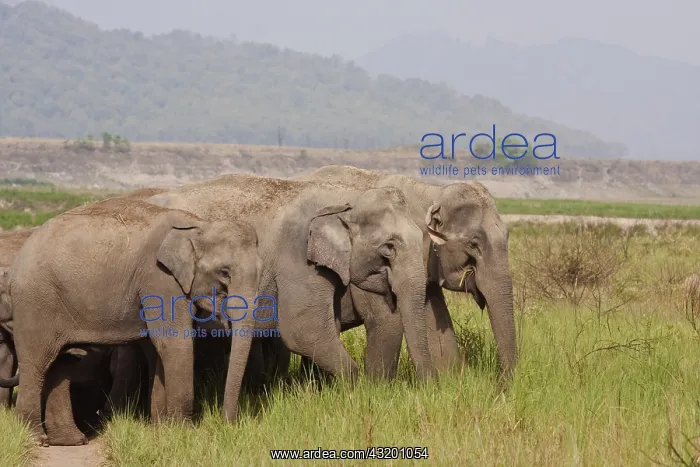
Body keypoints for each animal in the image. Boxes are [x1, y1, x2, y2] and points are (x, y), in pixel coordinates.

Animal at [7, 196, 262, 445]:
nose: (227, 425)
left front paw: (163, 431)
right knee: (37, 362)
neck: (199, 225)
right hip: (35, 302)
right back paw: (35, 438)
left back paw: (71, 440)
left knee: (63, 362)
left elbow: (159, 350)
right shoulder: (159, 279)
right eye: (224, 273)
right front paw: (183, 434)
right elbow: (175, 343)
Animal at [146, 174, 436, 384]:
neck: (345, 196)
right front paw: (361, 389)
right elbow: (303, 330)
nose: (428, 388)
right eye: (389, 248)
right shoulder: (297, 259)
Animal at [285, 165, 518, 386]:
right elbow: (387, 317)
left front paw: (449, 381)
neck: (432, 192)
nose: (500, 385)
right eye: (474, 244)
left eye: (508, 237)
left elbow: (434, 312)